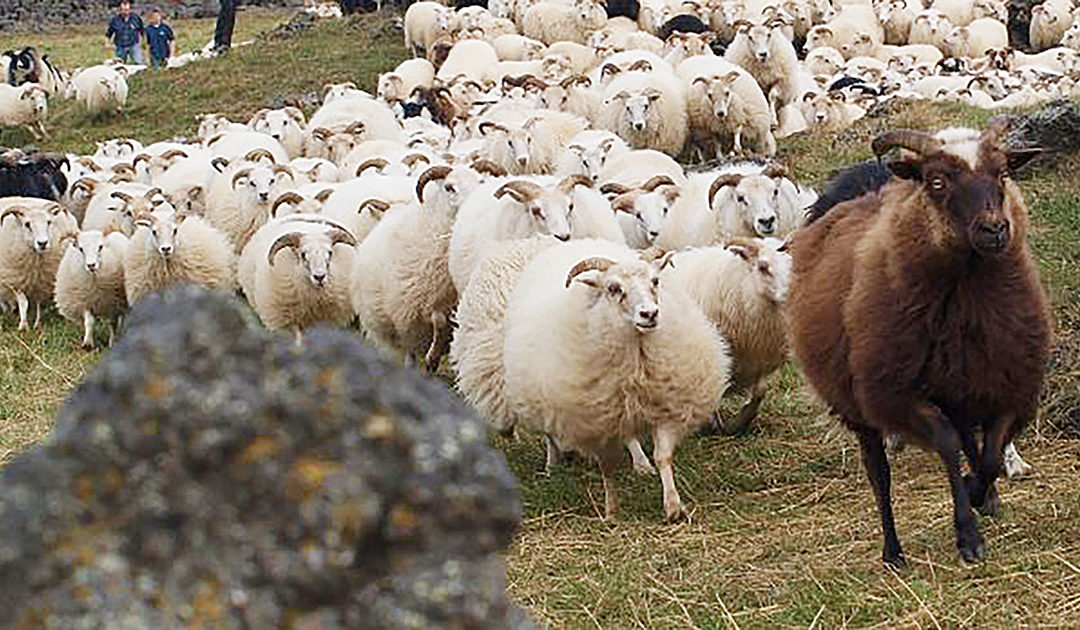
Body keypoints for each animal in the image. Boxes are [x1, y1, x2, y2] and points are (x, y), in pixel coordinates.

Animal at [0, 199, 77, 330]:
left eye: (49, 222)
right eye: (27, 224)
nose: (43, 243)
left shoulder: (43, 281)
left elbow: (39, 303)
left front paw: (38, 324)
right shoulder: (15, 280)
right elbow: (23, 302)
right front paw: (23, 326)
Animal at [502, 238, 731, 520]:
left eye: (655, 281)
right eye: (613, 288)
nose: (649, 314)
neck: (635, 363)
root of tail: (578, 241)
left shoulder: (667, 406)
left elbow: (663, 456)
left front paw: (673, 506)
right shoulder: (594, 424)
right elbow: (607, 468)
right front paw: (611, 511)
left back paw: (641, 463)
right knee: (551, 435)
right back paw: (552, 464)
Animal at [786, 123, 1049, 566]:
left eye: (1001, 173)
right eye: (936, 182)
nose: (995, 229)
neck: (967, 299)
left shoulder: (1009, 383)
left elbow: (991, 455)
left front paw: (981, 493)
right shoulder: (897, 394)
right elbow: (946, 443)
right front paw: (968, 534)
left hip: (958, 388)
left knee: (969, 441)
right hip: (856, 405)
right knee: (880, 474)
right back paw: (892, 551)